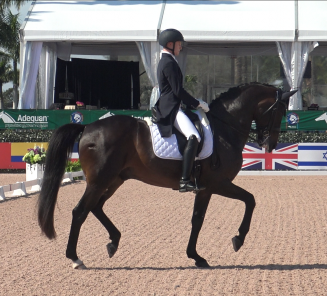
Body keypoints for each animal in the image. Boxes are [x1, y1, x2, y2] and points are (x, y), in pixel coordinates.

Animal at [37, 82, 298, 268]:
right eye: (279, 111)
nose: (271, 145)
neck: (225, 129)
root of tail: (87, 127)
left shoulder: (205, 188)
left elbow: (197, 219)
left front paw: (196, 256)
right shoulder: (217, 184)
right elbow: (249, 200)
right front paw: (238, 240)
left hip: (115, 180)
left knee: (96, 207)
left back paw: (113, 241)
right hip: (100, 181)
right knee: (80, 211)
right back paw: (75, 258)